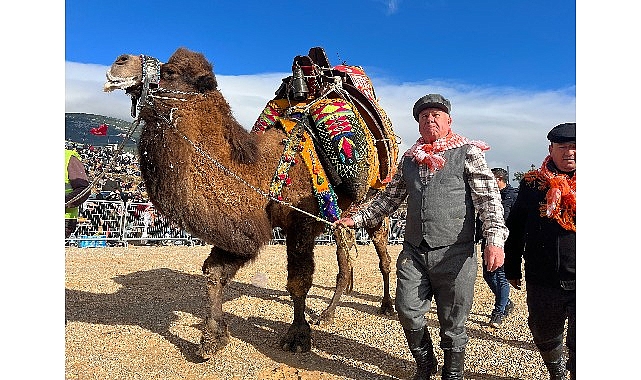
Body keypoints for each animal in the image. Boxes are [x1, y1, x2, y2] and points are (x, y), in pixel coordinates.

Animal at [103, 47, 398, 360]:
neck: (264, 171)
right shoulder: (242, 225)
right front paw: (213, 339)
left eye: (169, 72)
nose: (120, 61)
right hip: (342, 216)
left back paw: (386, 305)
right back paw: (328, 313)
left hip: (374, 203)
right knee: (347, 257)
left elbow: (299, 281)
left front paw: (297, 336)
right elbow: (215, 272)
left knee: (382, 255)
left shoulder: (302, 223)